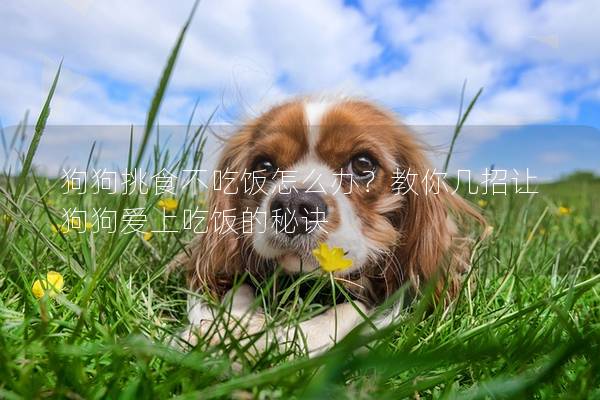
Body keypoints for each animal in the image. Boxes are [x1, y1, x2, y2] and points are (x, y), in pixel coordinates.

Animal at [171, 97, 486, 356]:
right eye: (263, 166)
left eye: (363, 164)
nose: (293, 206)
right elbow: (238, 289)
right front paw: (225, 330)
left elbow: (352, 308)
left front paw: (289, 340)